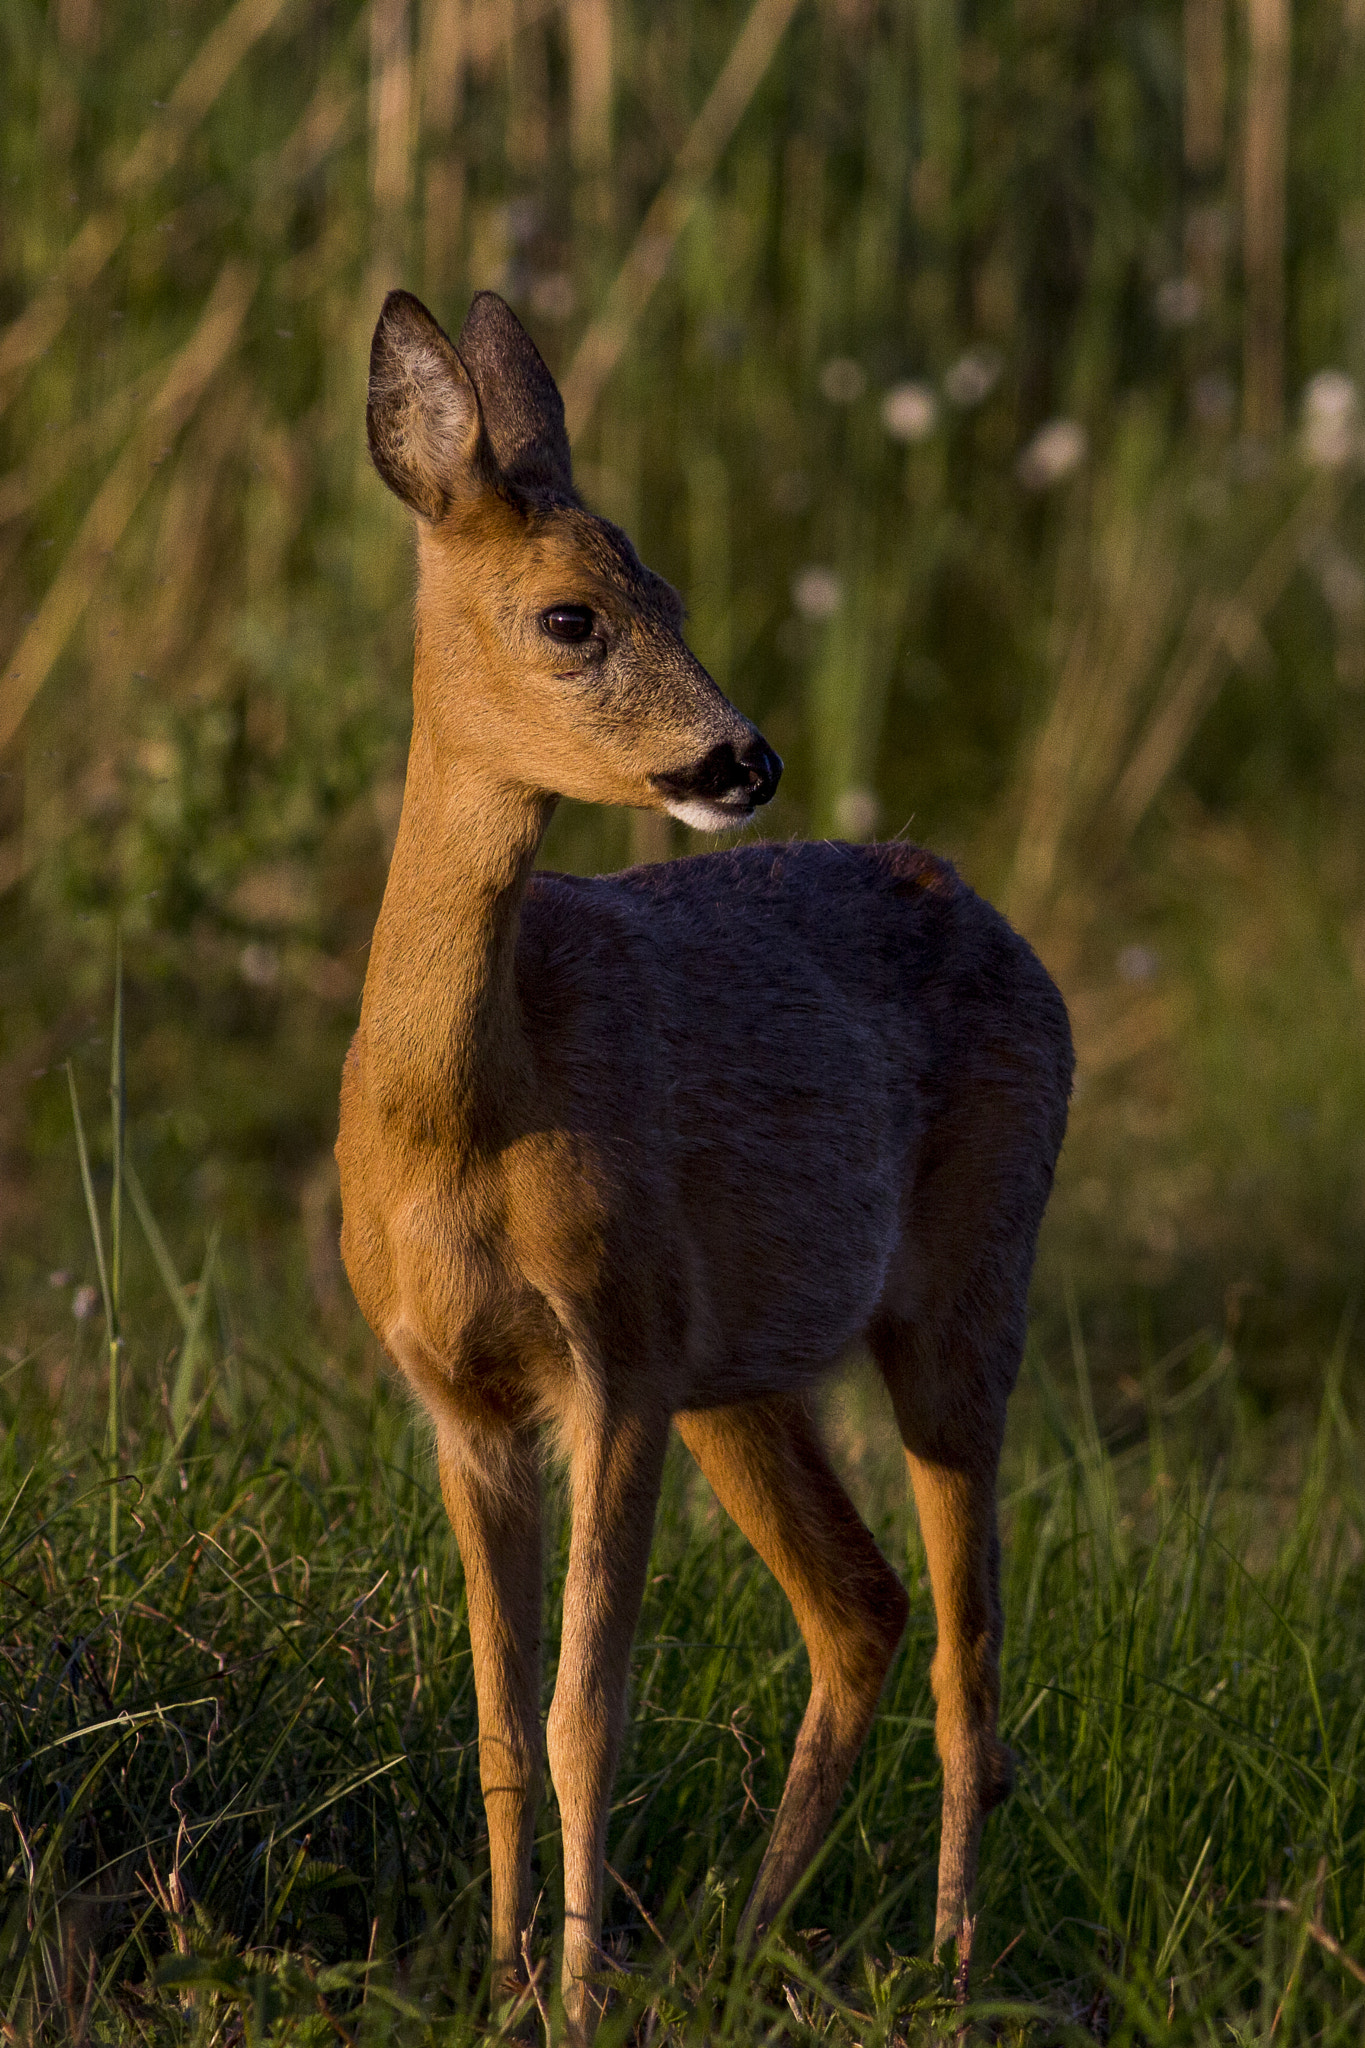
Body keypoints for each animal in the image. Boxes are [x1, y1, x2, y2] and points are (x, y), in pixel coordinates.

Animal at [335, 284, 1072, 2031]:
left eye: (667, 589)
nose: (745, 760)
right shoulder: (464, 1395)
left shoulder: (613, 1356)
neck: (458, 1114)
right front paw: (505, 1981)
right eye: (571, 618)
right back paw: (746, 1939)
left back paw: (946, 1965)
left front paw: (575, 1997)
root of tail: (1008, 929)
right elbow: (494, 1719)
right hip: (742, 1373)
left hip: (962, 1293)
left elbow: (583, 1716)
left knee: (971, 1659)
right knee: (862, 1605)